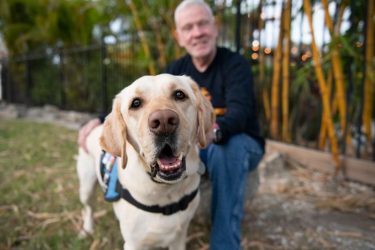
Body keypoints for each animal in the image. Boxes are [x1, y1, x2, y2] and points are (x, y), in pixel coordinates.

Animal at [76, 73, 214, 249]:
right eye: (135, 103)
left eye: (179, 94)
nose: (164, 122)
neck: (166, 192)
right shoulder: (133, 243)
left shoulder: (179, 237)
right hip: (86, 187)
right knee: (87, 208)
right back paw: (87, 229)